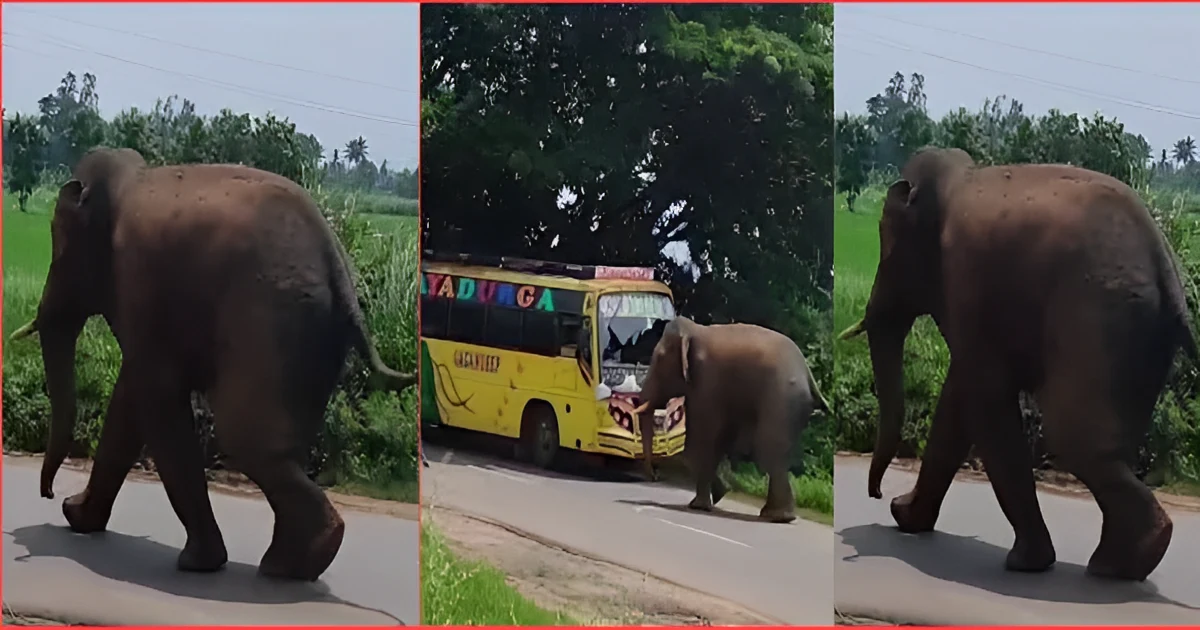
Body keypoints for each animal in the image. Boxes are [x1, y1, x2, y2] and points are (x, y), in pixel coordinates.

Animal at [10, 147, 417, 580]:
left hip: (270, 324)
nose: (49, 493)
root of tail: (339, 269)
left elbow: (155, 399)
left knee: (247, 439)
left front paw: (197, 563)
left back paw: (287, 564)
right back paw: (291, 564)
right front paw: (77, 516)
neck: (126, 179)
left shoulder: (137, 280)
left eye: (58, 250)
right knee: (279, 447)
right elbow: (131, 399)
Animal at [633, 316, 830, 523]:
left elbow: (700, 441)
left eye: (660, 359)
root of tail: (808, 376)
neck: (695, 330)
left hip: (782, 401)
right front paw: (720, 493)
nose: (655, 476)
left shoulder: (707, 382)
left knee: (767, 449)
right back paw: (774, 515)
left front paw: (700, 504)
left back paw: (778, 517)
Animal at [840, 146, 1195, 580]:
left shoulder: (965, 277)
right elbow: (959, 399)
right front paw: (906, 517)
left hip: (1101, 319)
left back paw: (1116, 564)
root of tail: (1168, 270)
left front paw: (1026, 563)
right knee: (1108, 445)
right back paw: (1120, 563)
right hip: (1137, 339)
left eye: (887, 249)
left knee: (1072, 437)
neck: (954, 177)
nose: (877, 494)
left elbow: (985, 399)